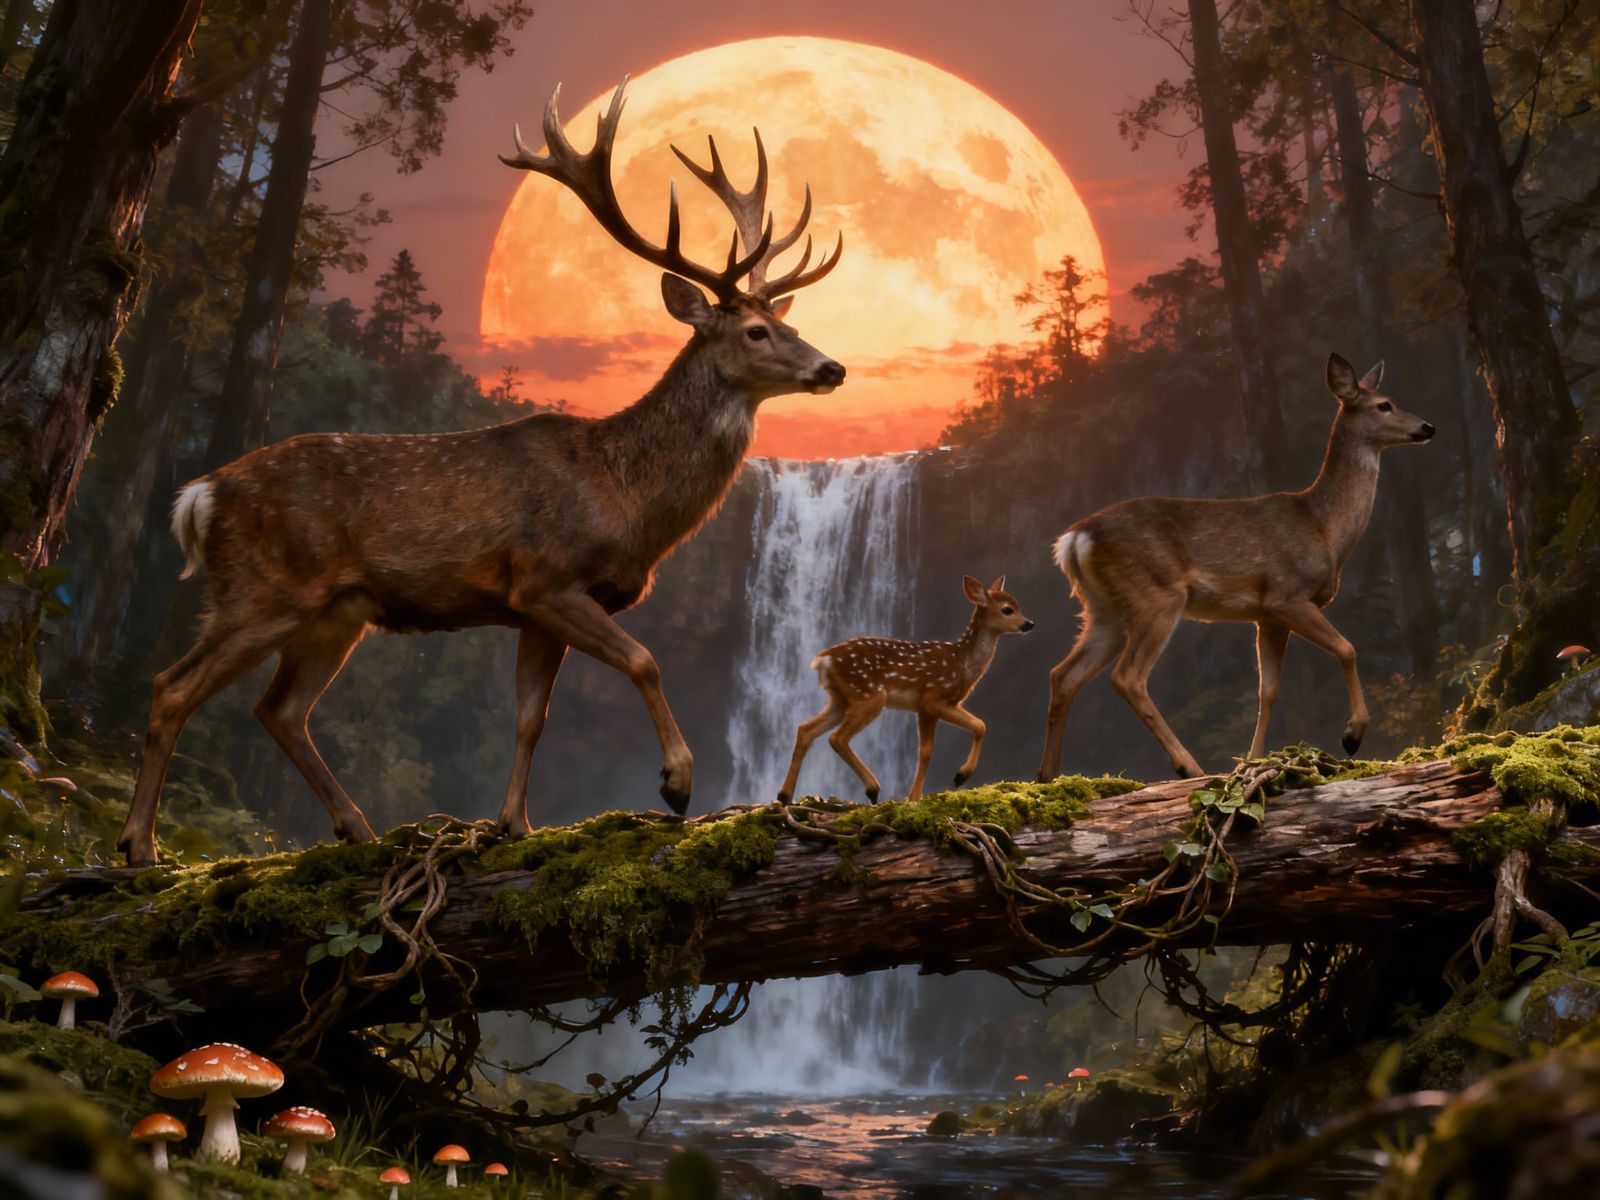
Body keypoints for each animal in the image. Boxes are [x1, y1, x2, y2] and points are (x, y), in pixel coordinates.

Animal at [116, 79, 846, 867]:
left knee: (279, 708)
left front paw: (513, 824)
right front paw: (677, 782)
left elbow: (531, 716)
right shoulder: (548, 577)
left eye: (791, 322)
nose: (832, 367)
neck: (622, 494)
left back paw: (356, 829)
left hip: (336, 613)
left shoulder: (535, 607)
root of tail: (201, 495)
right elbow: (643, 659)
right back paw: (140, 846)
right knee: (172, 686)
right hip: (262, 589)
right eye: (757, 331)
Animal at [778, 576, 1035, 805]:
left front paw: (953, 778)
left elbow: (974, 727)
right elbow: (932, 748)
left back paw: (784, 796)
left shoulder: (945, 704)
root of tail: (823, 660)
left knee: (806, 730)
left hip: (841, 699)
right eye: (1007, 610)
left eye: (1018, 604)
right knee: (837, 737)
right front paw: (926, 792)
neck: (962, 664)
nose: (1030, 624)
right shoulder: (931, 699)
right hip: (869, 695)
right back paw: (872, 789)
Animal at [1035, 354, 1435, 783]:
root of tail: (1074, 539)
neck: (1323, 527)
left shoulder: (1266, 617)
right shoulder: (1286, 595)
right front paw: (1352, 735)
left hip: (1104, 609)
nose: (1427, 426)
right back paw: (1188, 765)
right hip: (1156, 595)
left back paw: (1047, 776)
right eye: (1384, 405)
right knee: (1128, 677)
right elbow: (1347, 648)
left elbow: (1268, 690)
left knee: (1063, 674)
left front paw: (1252, 762)